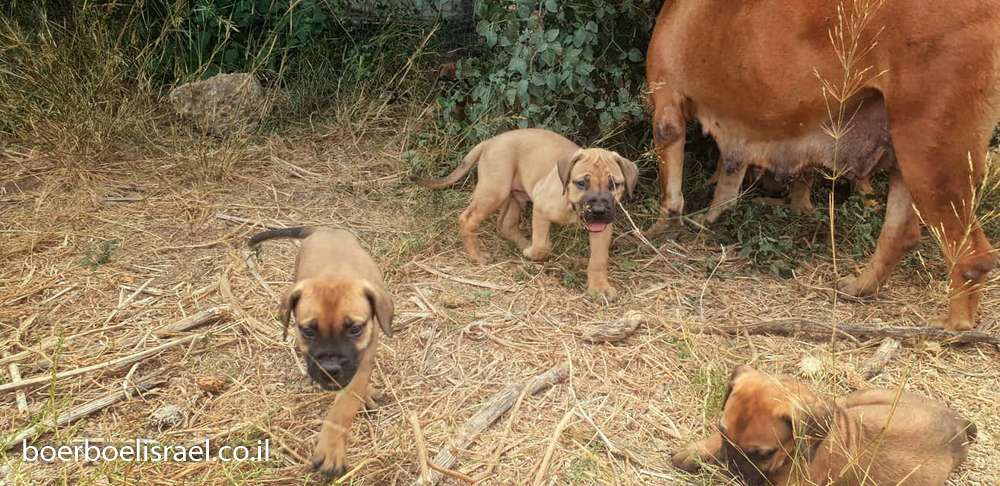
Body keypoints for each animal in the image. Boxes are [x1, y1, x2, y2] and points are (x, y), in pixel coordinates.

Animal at [248, 228, 392, 478]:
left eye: (355, 329)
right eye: (308, 331)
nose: (330, 369)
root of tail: (325, 228)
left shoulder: (362, 361)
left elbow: (343, 407)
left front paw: (331, 449)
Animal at [410, 127, 636, 298]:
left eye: (614, 184)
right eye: (581, 183)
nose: (598, 210)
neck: (570, 203)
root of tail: (491, 141)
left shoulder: (603, 228)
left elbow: (599, 259)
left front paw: (599, 288)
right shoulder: (541, 209)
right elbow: (542, 247)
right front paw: (532, 252)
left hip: (514, 195)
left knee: (505, 224)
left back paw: (521, 244)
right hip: (495, 191)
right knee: (468, 219)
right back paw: (478, 255)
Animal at [644, 0, 996, 330]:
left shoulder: (667, 111)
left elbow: (671, 193)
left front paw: (660, 229)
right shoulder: (736, 138)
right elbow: (727, 183)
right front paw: (711, 217)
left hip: (930, 159)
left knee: (973, 254)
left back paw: (953, 325)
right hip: (909, 159)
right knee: (900, 235)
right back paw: (860, 286)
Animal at [672, 364, 976, 486]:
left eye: (764, 453)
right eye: (723, 434)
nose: (731, 463)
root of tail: (961, 424)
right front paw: (696, 450)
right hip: (859, 397)